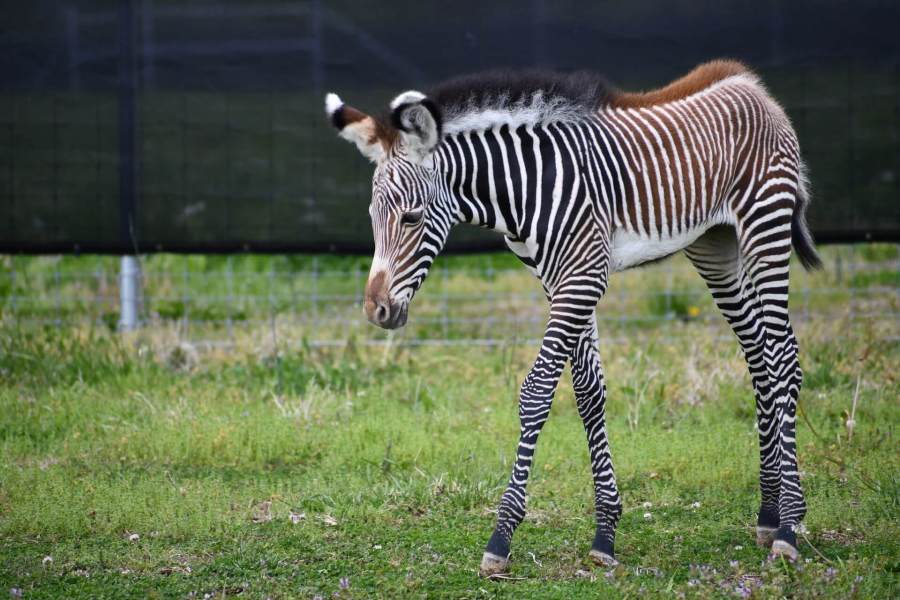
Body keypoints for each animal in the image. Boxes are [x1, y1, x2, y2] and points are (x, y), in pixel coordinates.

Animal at [326, 59, 824, 572]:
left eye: (411, 218)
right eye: (372, 217)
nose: (376, 311)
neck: (523, 188)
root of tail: (750, 83)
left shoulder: (582, 277)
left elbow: (537, 392)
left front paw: (501, 538)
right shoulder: (559, 281)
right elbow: (588, 394)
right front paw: (605, 533)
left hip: (765, 226)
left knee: (783, 358)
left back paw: (790, 526)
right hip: (715, 246)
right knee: (759, 358)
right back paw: (768, 514)